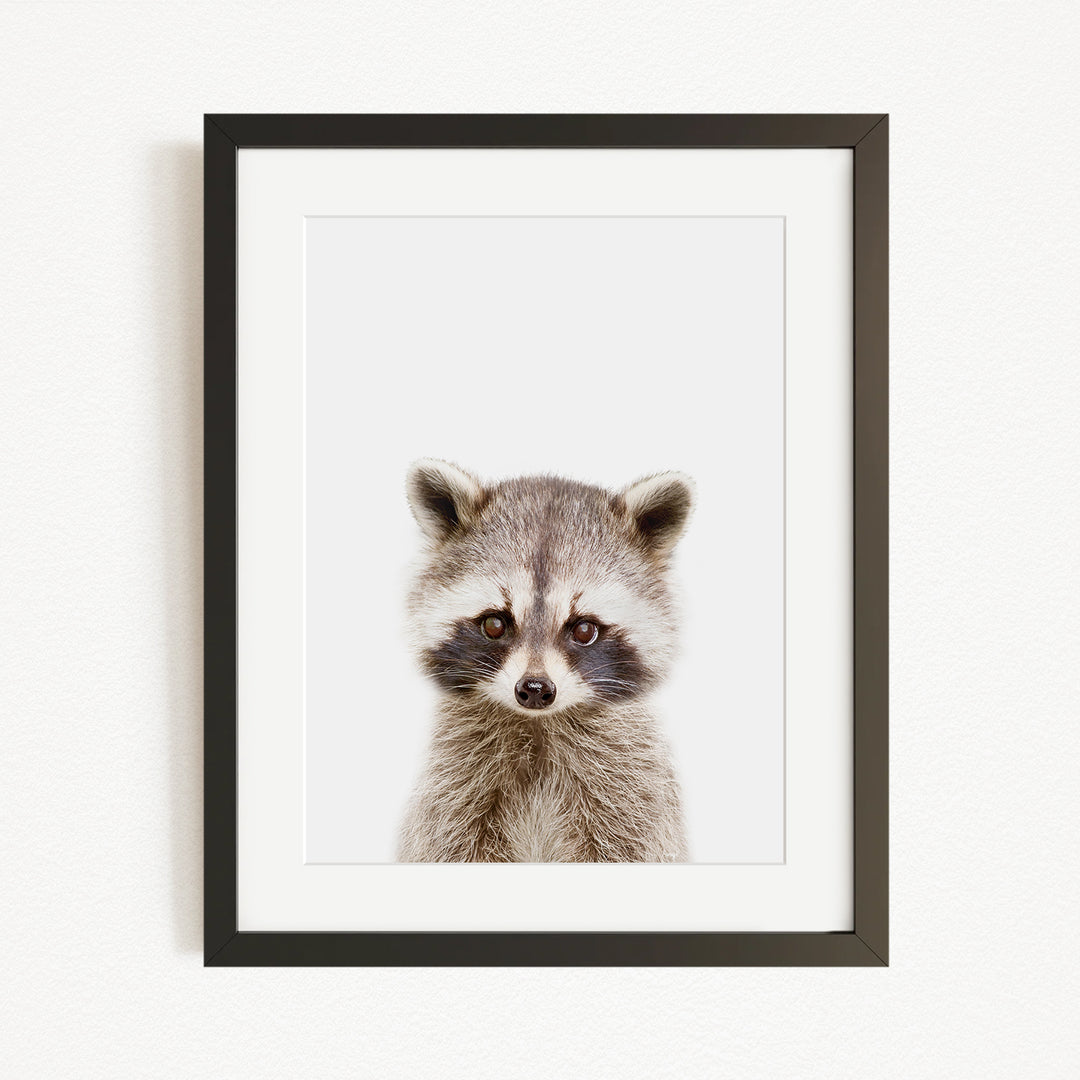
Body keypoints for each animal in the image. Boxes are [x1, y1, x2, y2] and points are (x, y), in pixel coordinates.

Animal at [397, 459, 693, 863]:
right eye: (494, 624)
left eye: (584, 629)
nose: (535, 689)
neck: (538, 726)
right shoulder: (452, 790)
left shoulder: (633, 794)